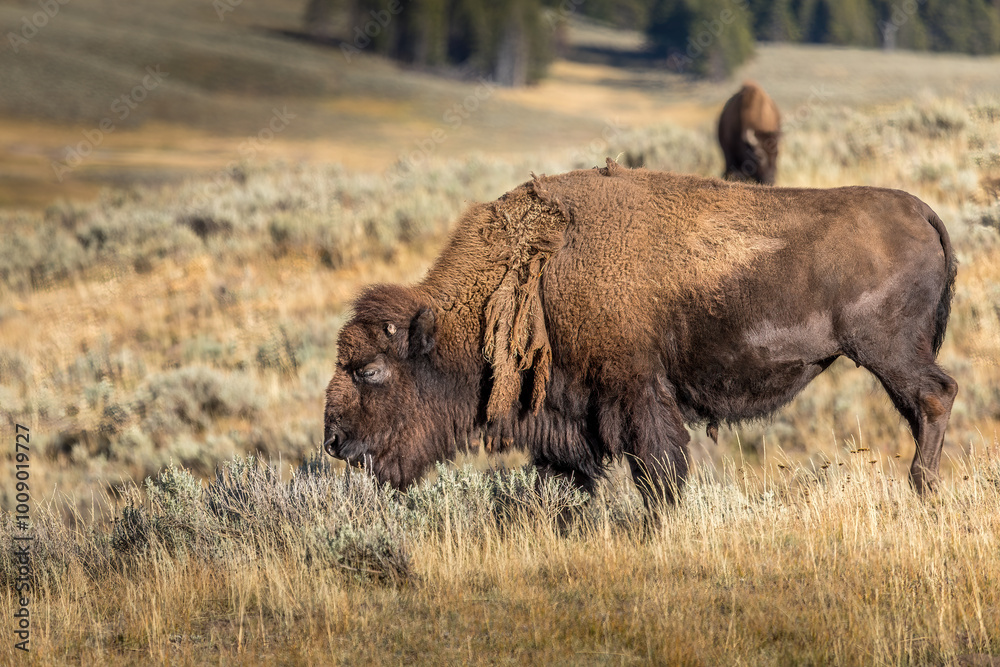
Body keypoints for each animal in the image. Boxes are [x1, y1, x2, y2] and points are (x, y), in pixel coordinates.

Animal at [324, 160, 957, 506]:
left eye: (371, 370)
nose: (333, 441)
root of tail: (922, 211)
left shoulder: (634, 391)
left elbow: (658, 469)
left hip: (887, 352)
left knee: (935, 396)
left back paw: (920, 487)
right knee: (926, 403)